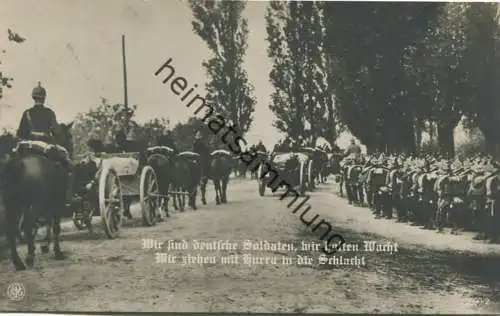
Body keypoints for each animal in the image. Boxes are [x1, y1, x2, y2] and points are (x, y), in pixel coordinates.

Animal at [0, 122, 74, 270]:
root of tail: (17, 165)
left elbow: (47, 223)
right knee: (27, 226)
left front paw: (43, 246)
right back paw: (29, 258)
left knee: (12, 229)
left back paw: (18, 262)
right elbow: (55, 226)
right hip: (34, 204)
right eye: (70, 136)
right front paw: (56, 251)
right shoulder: (57, 202)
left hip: (11, 204)